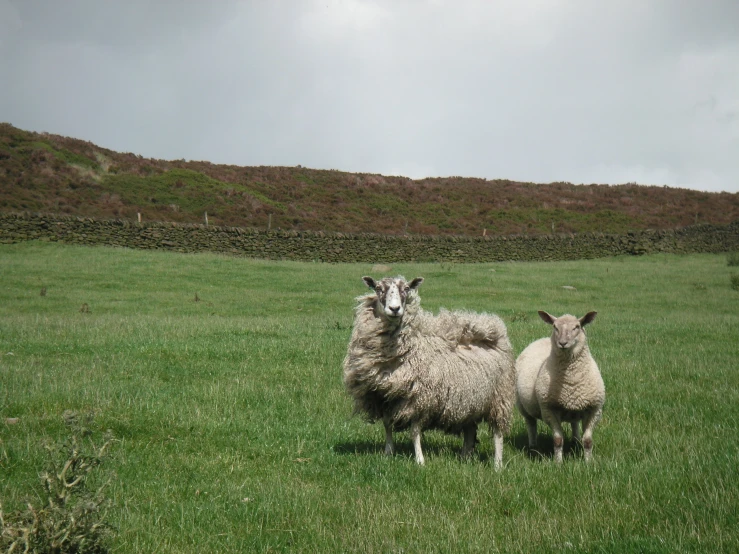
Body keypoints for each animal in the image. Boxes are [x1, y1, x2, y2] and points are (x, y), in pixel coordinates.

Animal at [344, 274, 516, 466]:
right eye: (379, 289)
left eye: (406, 289)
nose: (395, 309)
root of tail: (495, 330)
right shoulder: (383, 396)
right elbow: (387, 425)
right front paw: (388, 453)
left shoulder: (419, 397)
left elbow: (414, 431)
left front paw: (420, 460)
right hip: (469, 399)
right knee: (470, 429)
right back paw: (464, 457)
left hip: (499, 397)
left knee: (498, 433)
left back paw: (497, 464)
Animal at [516, 310, 604, 462]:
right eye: (555, 327)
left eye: (577, 327)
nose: (562, 343)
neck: (571, 381)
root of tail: (541, 339)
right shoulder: (549, 409)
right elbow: (558, 440)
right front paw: (558, 463)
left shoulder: (594, 409)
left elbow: (588, 441)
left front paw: (588, 463)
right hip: (523, 407)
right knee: (531, 424)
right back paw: (533, 446)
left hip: (576, 408)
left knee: (574, 423)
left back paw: (575, 441)